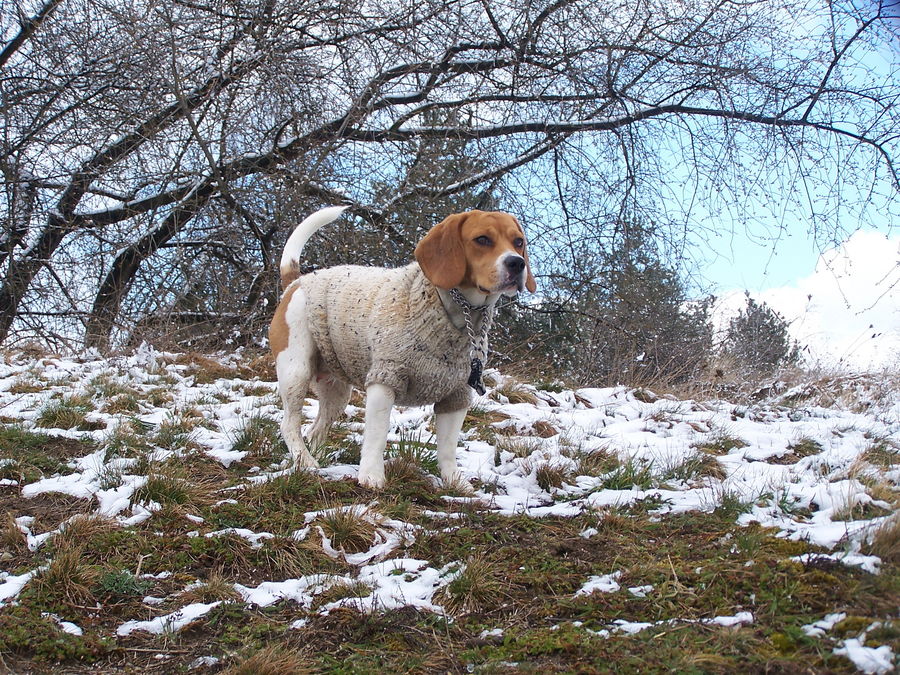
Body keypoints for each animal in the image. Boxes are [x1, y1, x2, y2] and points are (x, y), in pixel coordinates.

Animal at [268, 206, 536, 486]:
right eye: (482, 239)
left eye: (519, 242)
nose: (517, 263)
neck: (456, 314)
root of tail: (297, 282)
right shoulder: (385, 380)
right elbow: (376, 437)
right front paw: (371, 477)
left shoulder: (457, 394)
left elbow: (448, 447)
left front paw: (454, 481)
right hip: (295, 373)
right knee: (289, 425)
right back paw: (305, 461)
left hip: (336, 392)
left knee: (316, 429)